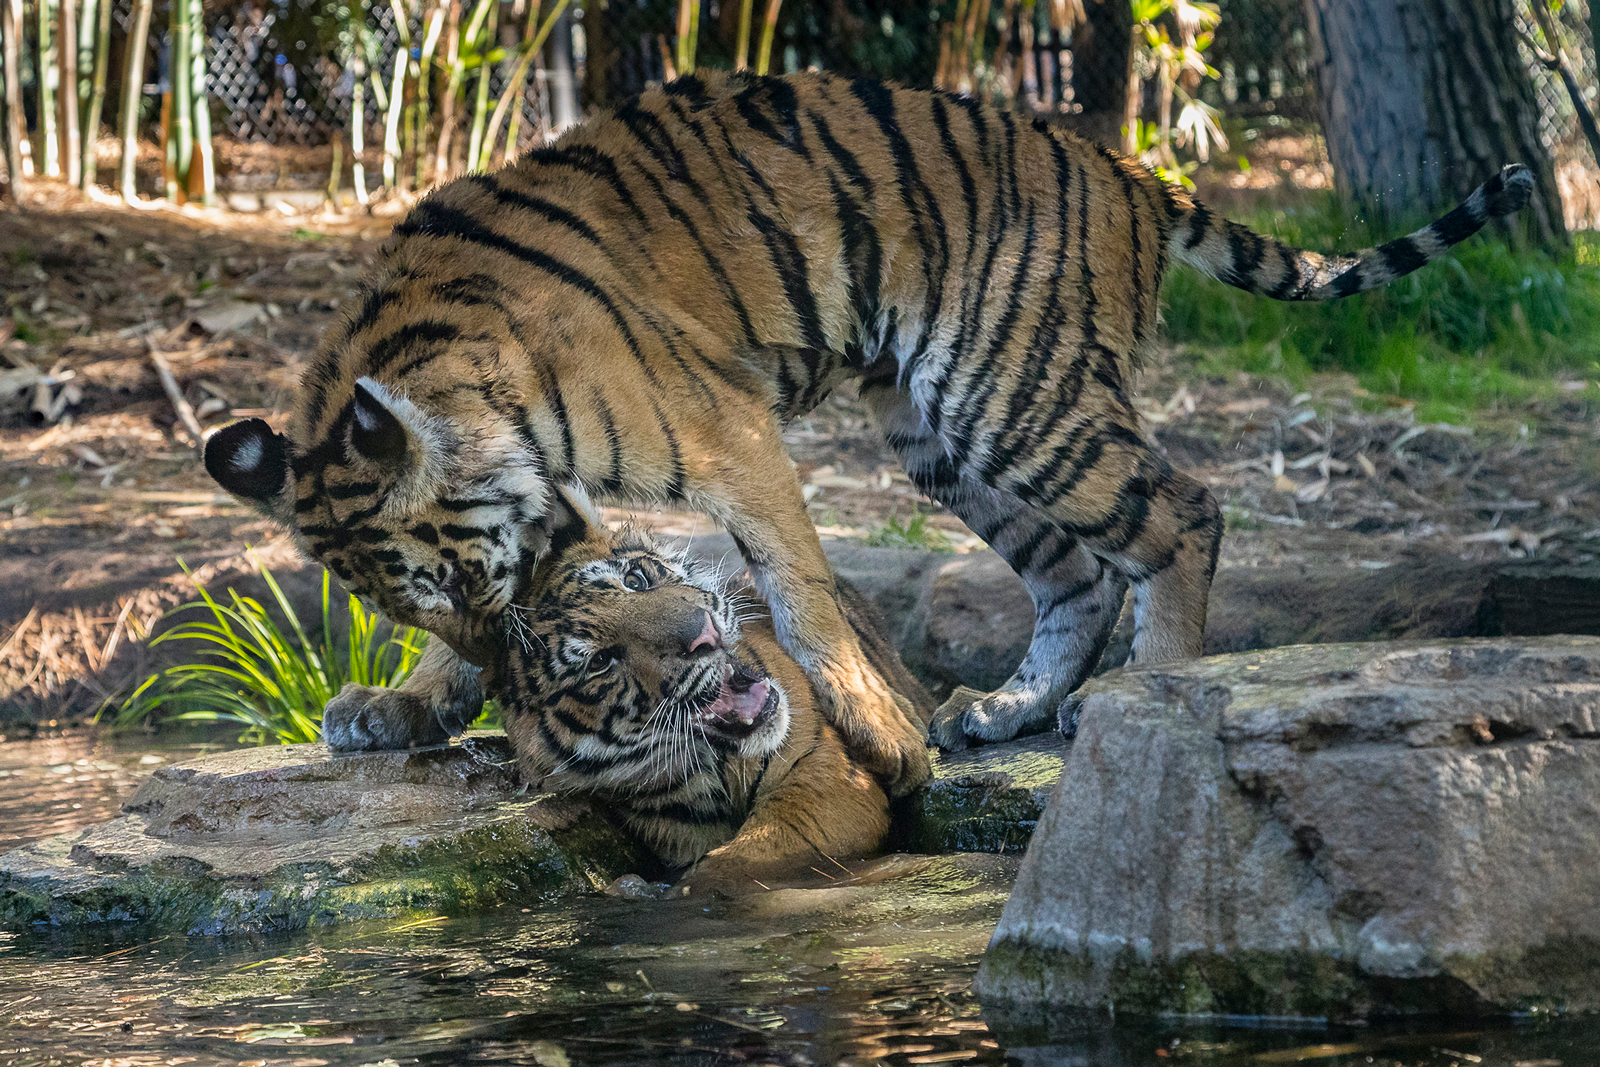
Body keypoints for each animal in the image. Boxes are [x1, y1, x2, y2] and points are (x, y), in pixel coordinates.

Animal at [203, 68, 1536, 783]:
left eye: (442, 583)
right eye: (400, 606)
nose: (497, 679)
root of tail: (1123, 166)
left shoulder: (727, 429)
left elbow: (796, 589)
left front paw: (878, 732)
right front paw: (405, 702)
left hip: (1012, 394)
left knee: (1180, 515)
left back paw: (1147, 699)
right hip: (940, 424)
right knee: (1077, 575)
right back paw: (1004, 709)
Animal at [492, 486, 934, 895]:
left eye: (635, 580)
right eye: (600, 661)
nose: (703, 632)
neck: (713, 771)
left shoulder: (824, 766)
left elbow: (762, 847)